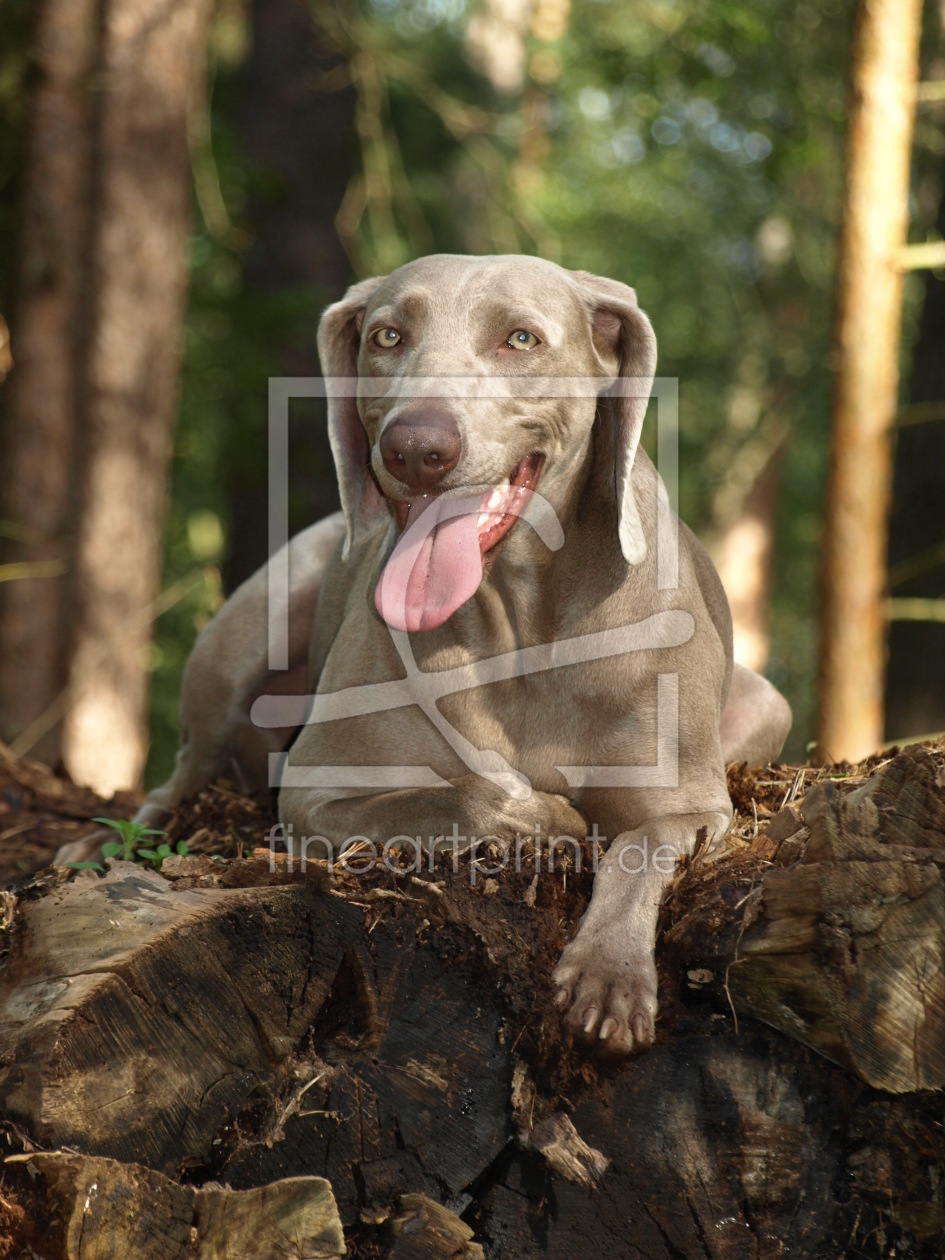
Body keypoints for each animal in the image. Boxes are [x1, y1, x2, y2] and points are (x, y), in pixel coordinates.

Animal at [57, 255, 791, 1053]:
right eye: (387, 335)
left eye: (521, 338)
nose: (415, 448)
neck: (521, 619)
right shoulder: (314, 790)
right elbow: (466, 794)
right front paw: (549, 819)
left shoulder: (692, 805)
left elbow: (640, 847)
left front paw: (608, 977)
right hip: (247, 636)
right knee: (180, 777)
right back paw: (95, 850)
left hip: (768, 705)